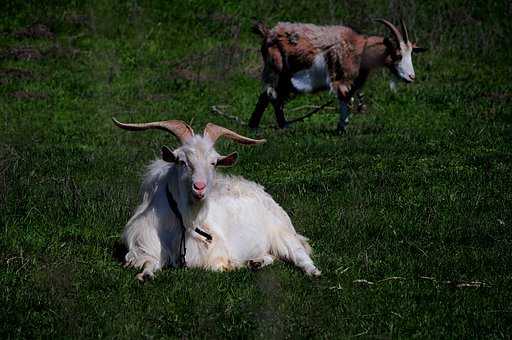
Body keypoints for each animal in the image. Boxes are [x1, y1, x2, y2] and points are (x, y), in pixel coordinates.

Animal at [113, 118, 320, 280]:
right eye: (182, 161)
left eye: (213, 163)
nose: (199, 187)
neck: (183, 221)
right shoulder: (144, 244)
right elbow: (148, 261)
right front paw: (145, 275)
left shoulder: (214, 250)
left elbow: (216, 266)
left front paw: (233, 265)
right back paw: (256, 262)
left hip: (282, 233)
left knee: (299, 253)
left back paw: (313, 272)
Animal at [250, 17, 426, 133]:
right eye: (398, 55)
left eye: (411, 53)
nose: (411, 77)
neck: (359, 48)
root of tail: (269, 32)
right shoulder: (341, 79)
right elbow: (344, 99)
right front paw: (341, 129)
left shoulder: (353, 81)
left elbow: (349, 99)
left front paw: (342, 126)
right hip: (276, 70)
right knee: (272, 94)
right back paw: (282, 126)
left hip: (285, 78)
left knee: (267, 96)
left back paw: (256, 126)